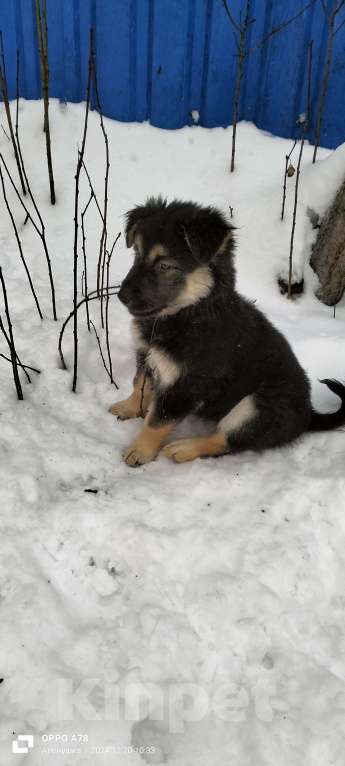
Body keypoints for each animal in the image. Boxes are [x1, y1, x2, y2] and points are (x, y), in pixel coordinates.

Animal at [109, 198, 344, 468]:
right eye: (137, 254)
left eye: (165, 266)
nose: (121, 296)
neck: (189, 313)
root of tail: (308, 414)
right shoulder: (146, 355)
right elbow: (139, 385)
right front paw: (128, 408)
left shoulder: (189, 383)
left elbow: (158, 420)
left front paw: (140, 451)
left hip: (256, 407)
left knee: (226, 440)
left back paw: (184, 448)